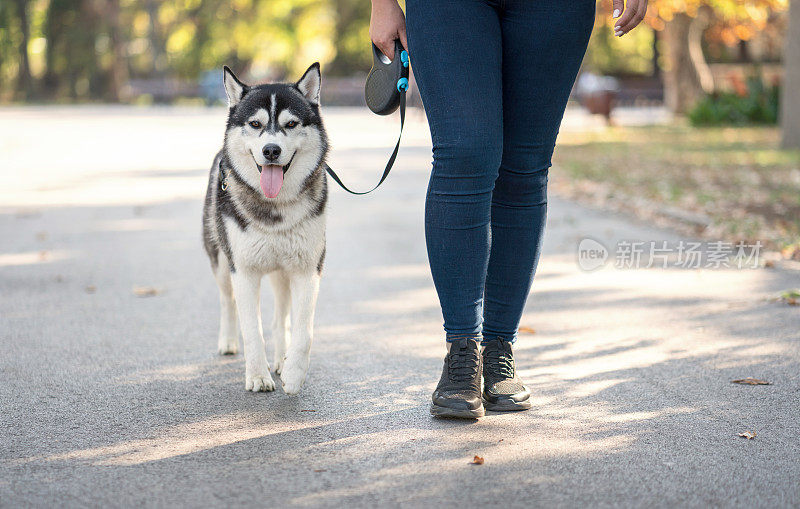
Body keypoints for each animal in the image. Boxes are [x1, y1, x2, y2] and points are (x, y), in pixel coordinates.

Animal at [203, 63, 328, 394]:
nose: (271, 150)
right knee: (226, 301)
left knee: (281, 316)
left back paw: (282, 359)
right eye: (256, 124)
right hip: (221, 262)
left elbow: (304, 329)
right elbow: (252, 329)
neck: (275, 208)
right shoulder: (243, 271)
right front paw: (258, 376)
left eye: (291, 124)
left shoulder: (307, 270)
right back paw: (228, 341)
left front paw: (294, 373)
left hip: (282, 272)